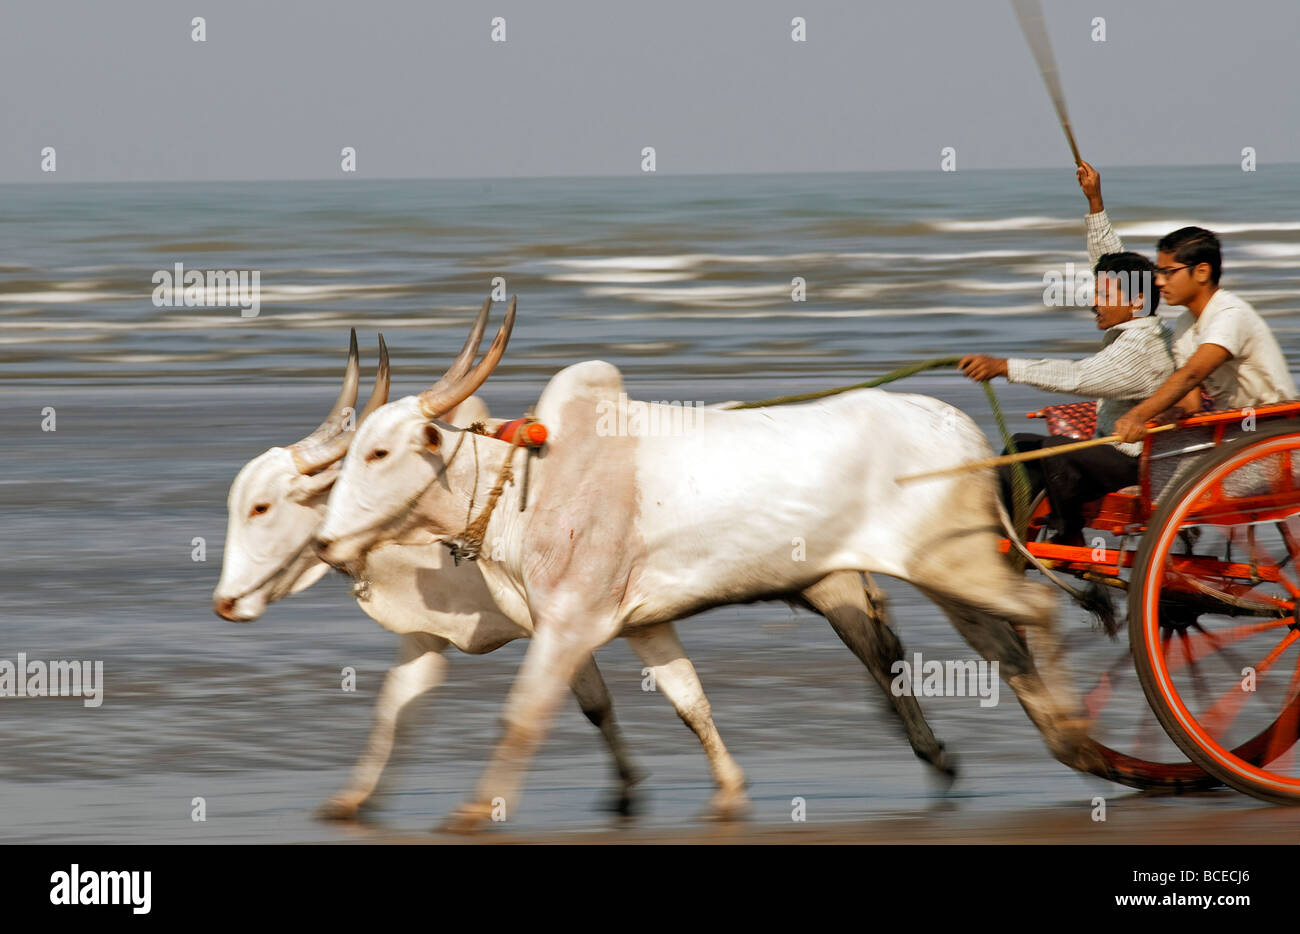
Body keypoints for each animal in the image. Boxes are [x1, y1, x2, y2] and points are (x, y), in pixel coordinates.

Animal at [315, 297, 1096, 833]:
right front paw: (729, 793)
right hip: (938, 578)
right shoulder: (635, 624)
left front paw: (475, 811)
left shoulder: (568, 625)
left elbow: (524, 716)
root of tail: (961, 425)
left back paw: (1080, 741)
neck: (524, 489)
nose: (323, 543)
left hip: (951, 566)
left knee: (1037, 612)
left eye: (378, 452)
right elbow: (690, 704)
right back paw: (1051, 746)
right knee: (994, 647)